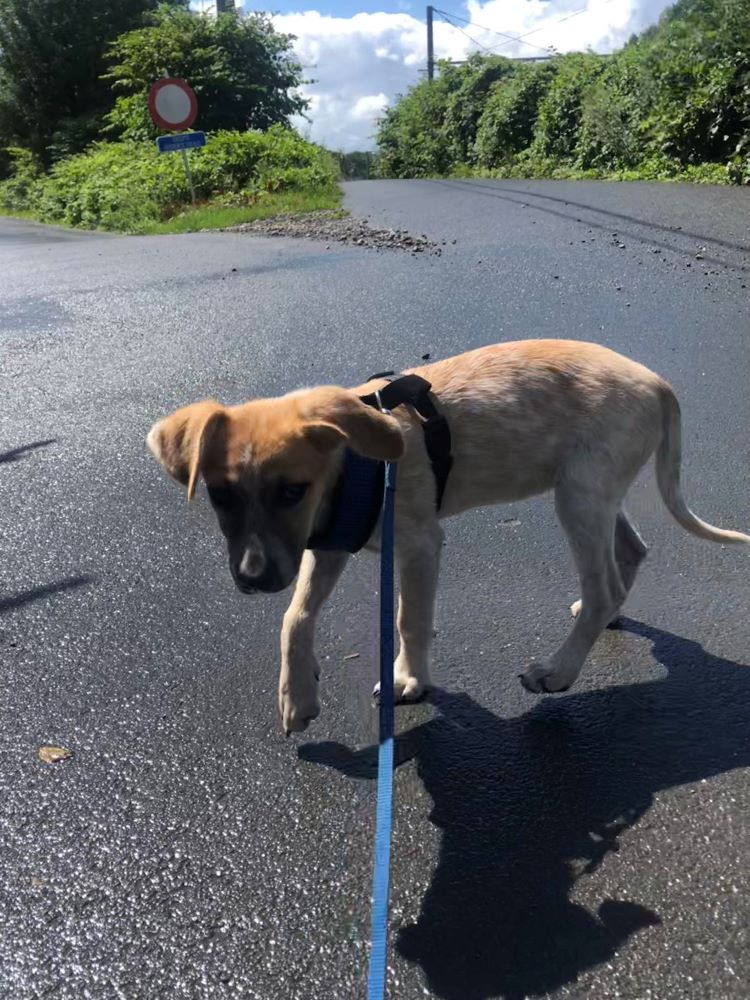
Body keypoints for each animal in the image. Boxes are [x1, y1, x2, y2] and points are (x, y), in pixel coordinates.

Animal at [147, 342, 750, 736]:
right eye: (221, 496)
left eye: (292, 491)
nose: (252, 579)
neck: (357, 465)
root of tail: (657, 382)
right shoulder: (328, 544)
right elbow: (294, 616)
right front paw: (297, 695)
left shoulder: (416, 545)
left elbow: (408, 618)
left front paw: (408, 679)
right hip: (593, 490)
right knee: (628, 555)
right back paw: (602, 617)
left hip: (579, 496)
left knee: (603, 584)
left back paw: (558, 670)